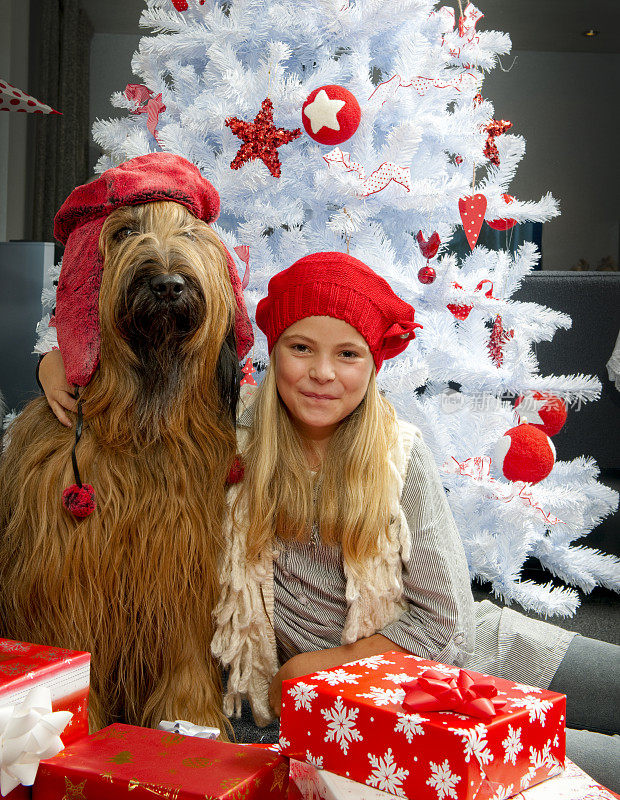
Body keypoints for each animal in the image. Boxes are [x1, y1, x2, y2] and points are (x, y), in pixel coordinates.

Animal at [0, 200, 240, 732]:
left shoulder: (180, 560)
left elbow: (186, 652)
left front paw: (190, 717)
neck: (139, 424)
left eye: (190, 233)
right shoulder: (68, 574)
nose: (168, 284)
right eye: (125, 231)